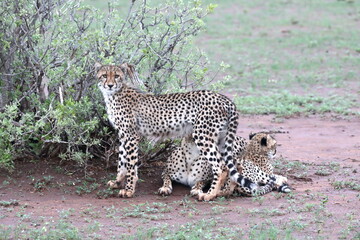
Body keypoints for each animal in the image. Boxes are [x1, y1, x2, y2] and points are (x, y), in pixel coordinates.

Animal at [95, 62, 258, 201]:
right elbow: (121, 161)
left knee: (220, 166)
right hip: (221, 138)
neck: (115, 93)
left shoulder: (131, 135)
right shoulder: (123, 135)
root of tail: (224, 98)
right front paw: (117, 182)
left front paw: (129, 189)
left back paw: (209, 194)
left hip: (203, 135)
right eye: (104, 75)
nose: (110, 85)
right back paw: (223, 192)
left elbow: (130, 164)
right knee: (233, 165)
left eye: (116, 76)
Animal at [159, 131, 292, 197]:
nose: (276, 151)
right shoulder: (165, 171)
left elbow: (200, 182)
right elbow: (166, 178)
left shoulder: (210, 177)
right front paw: (165, 188)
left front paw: (196, 189)